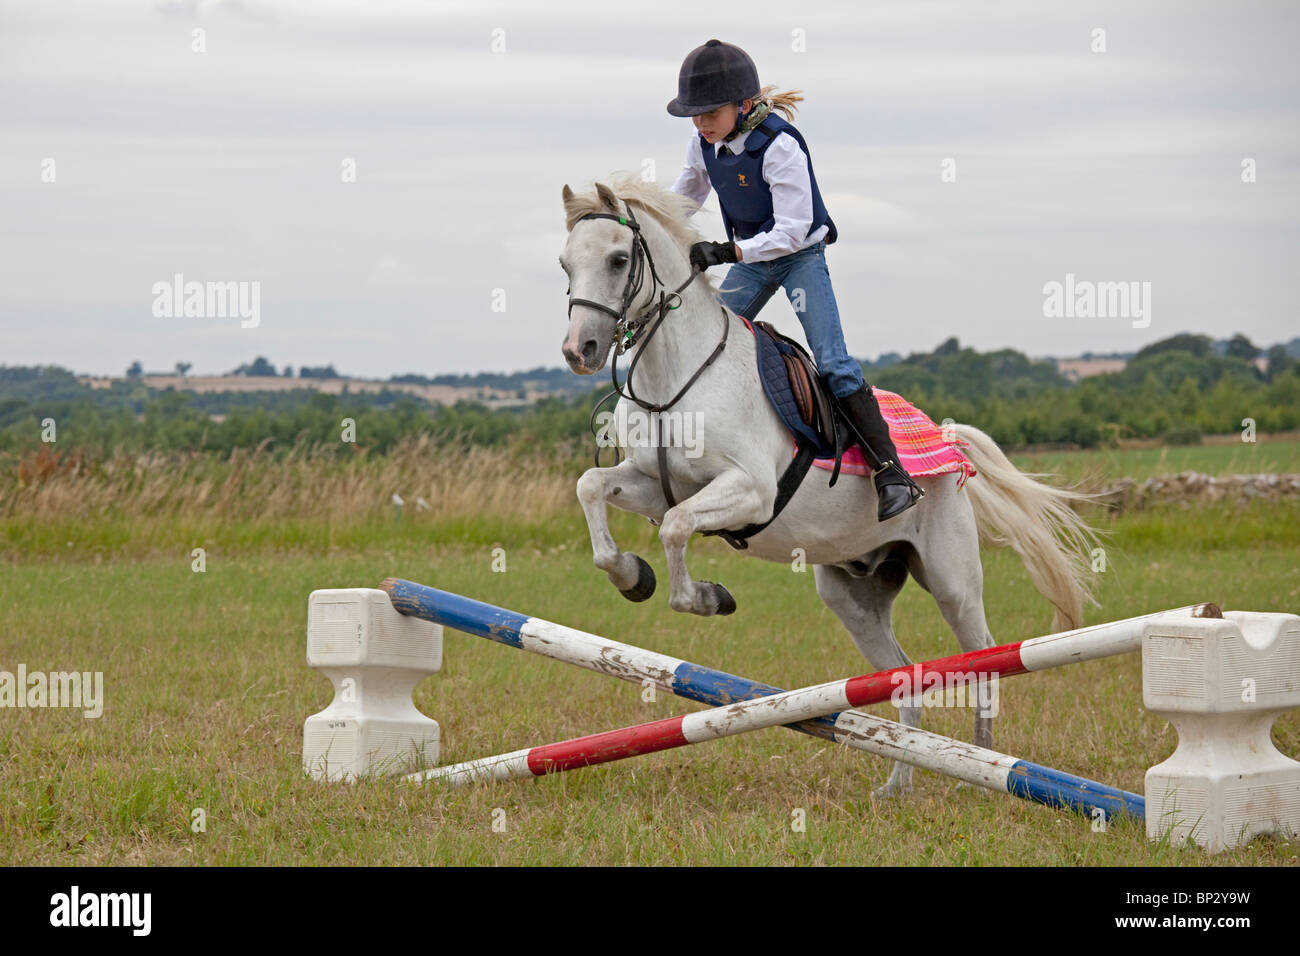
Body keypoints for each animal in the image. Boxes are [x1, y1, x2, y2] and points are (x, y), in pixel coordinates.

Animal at [558, 174, 1102, 798]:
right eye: (565, 264)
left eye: (619, 259)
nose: (579, 351)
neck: (676, 377)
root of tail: (943, 437)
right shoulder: (653, 482)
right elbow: (593, 487)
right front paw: (632, 576)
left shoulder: (749, 491)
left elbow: (675, 529)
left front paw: (706, 598)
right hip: (852, 594)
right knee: (905, 680)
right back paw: (897, 787)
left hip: (953, 581)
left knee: (984, 663)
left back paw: (982, 773)